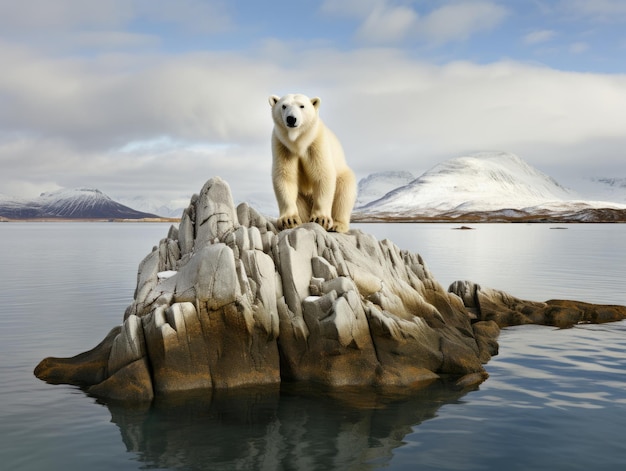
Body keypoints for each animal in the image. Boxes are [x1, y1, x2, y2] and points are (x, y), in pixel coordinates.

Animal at [268, 93, 356, 233]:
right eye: (284, 106)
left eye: (302, 106)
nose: (291, 119)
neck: (298, 143)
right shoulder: (282, 146)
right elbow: (285, 177)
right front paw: (289, 220)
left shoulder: (316, 143)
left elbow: (322, 174)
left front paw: (321, 219)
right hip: (302, 197)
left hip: (344, 176)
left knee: (344, 195)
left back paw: (338, 225)